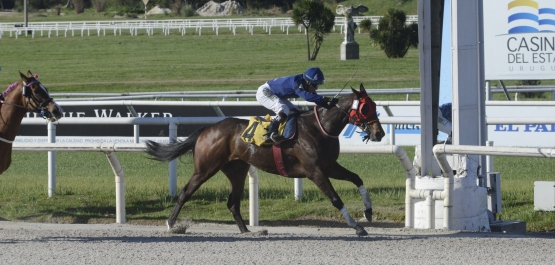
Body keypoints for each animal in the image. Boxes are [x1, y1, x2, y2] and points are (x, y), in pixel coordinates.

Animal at [146, 83, 384, 234]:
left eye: (374, 106)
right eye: (366, 107)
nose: (379, 133)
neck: (320, 127)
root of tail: (207, 129)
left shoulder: (329, 166)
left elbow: (357, 179)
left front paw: (368, 211)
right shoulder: (314, 170)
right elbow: (335, 198)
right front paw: (357, 227)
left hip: (237, 170)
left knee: (232, 202)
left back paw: (246, 231)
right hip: (205, 168)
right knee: (186, 192)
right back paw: (171, 224)